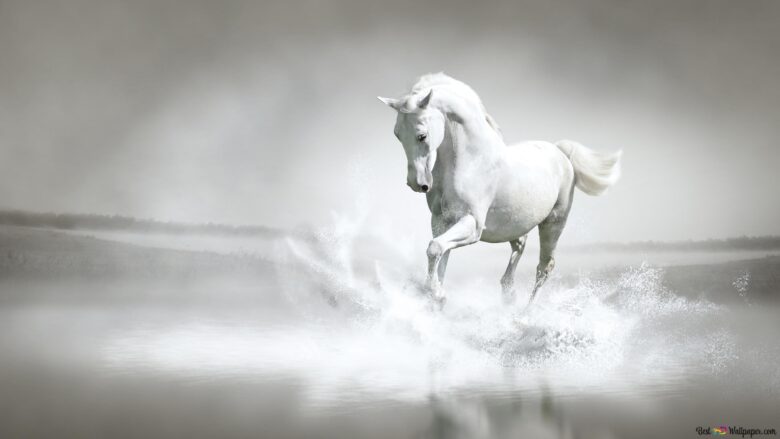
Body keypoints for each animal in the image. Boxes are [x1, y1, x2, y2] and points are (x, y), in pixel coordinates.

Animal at [378, 73, 622, 307]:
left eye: (422, 135)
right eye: (397, 134)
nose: (417, 183)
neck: (471, 162)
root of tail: (561, 152)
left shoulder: (472, 224)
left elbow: (435, 248)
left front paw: (437, 294)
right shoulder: (441, 221)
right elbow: (440, 255)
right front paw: (436, 296)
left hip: (553, 223)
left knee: (544, 268)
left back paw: (524, 313)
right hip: (515, 224)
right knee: (520, 247)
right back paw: (508, 294)